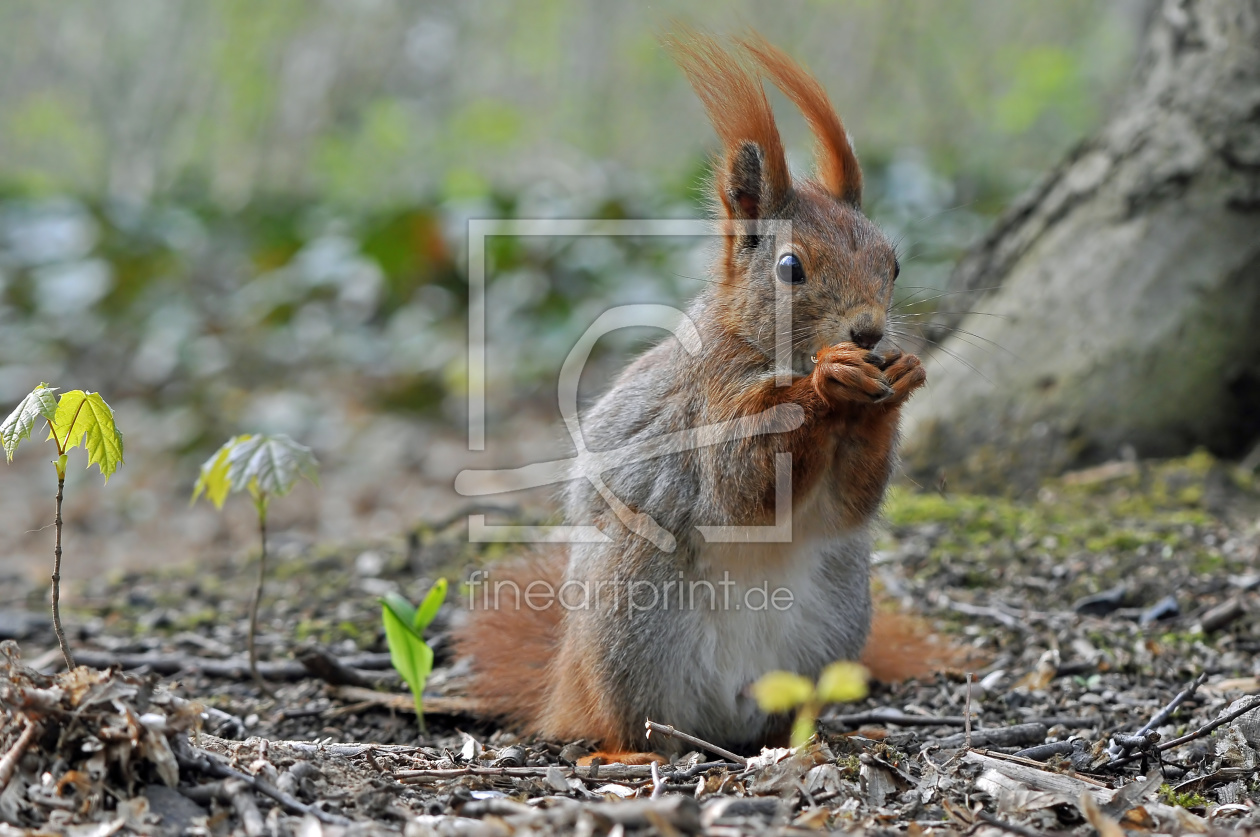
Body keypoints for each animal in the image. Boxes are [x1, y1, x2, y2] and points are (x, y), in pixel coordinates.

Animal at [458, 32, 957, 756]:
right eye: (789, 267)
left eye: (893, 262)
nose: (867, 332)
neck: (762, 348)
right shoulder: (705, 405)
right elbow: (742, 481)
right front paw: (826, 381)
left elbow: (849, 500)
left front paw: (900, 379)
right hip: (631, 610)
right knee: (623, 721)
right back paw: (625, 747)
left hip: (834, 617)